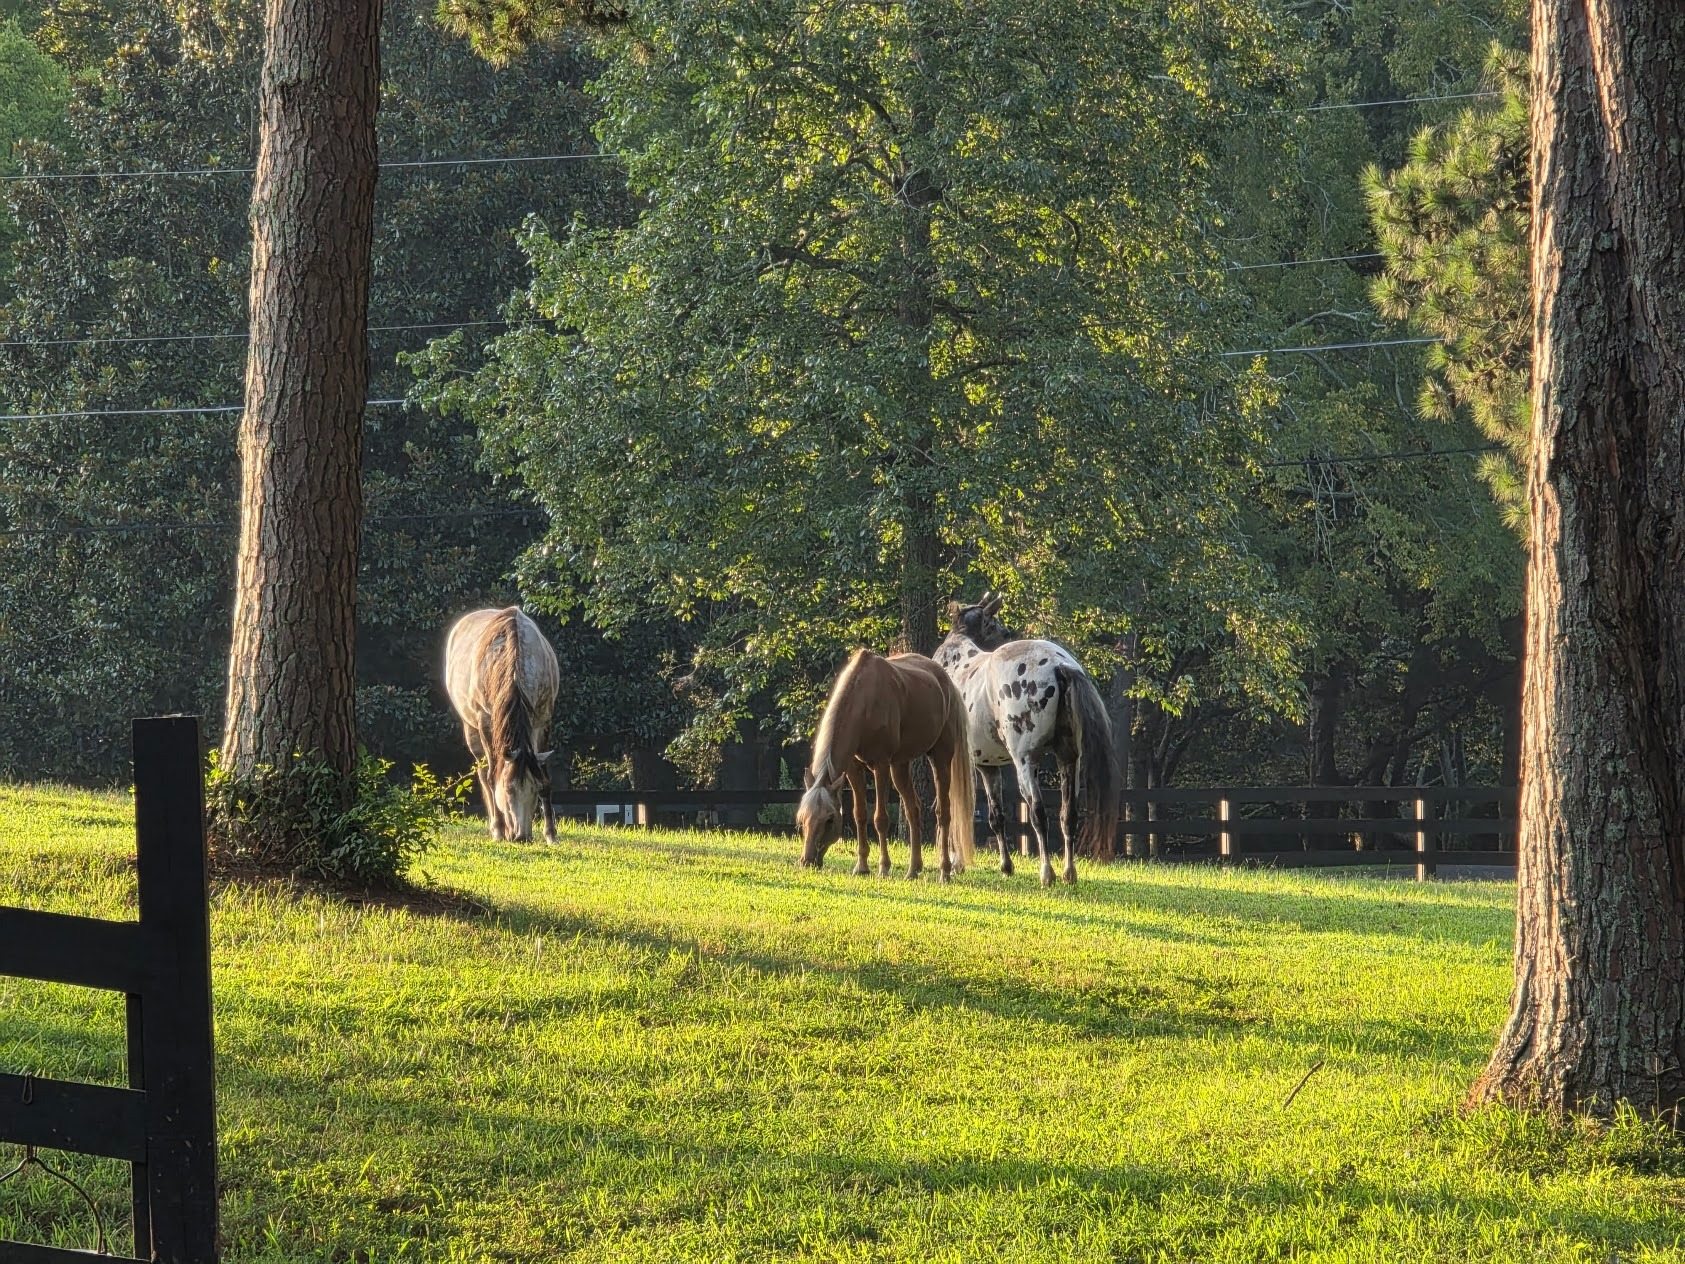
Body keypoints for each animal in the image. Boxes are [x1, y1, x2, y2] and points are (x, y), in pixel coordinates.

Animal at [444, 606, 560, 843]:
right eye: (508, 790)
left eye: (534, 790)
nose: (522, 836)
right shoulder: (485, 721)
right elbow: (492, 777)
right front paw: (501, 830)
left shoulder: (543, 719)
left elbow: (545, 775)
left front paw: (551, 834)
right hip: (471, 727)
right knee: (483, 772)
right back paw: (497, 827)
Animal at [797, 649, 976, 881]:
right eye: (802, 819)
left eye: (829, 819)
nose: (807, 861)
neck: (864, 701)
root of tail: (946, 681)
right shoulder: (854, 768)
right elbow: (860, 814)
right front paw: (862, 866)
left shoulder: (880, 765)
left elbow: (880, 818)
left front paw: (883, 867)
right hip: (899, 766)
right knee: (913, 809)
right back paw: (913, 869)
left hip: (940, 758)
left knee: (943, 813)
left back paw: (944, 871)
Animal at [934, 593, 1121, 885]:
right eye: (998, 627)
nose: (1009, 633)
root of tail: (1059, 665)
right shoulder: (988, 766)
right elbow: (996, 816)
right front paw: (1005, 865)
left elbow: (952, 809)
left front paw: (954, 863)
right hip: (1068, 759)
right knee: (1068, 814)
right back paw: (1069, 872)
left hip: (1025, 761)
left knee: (1038, 813)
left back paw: (1047, 873)